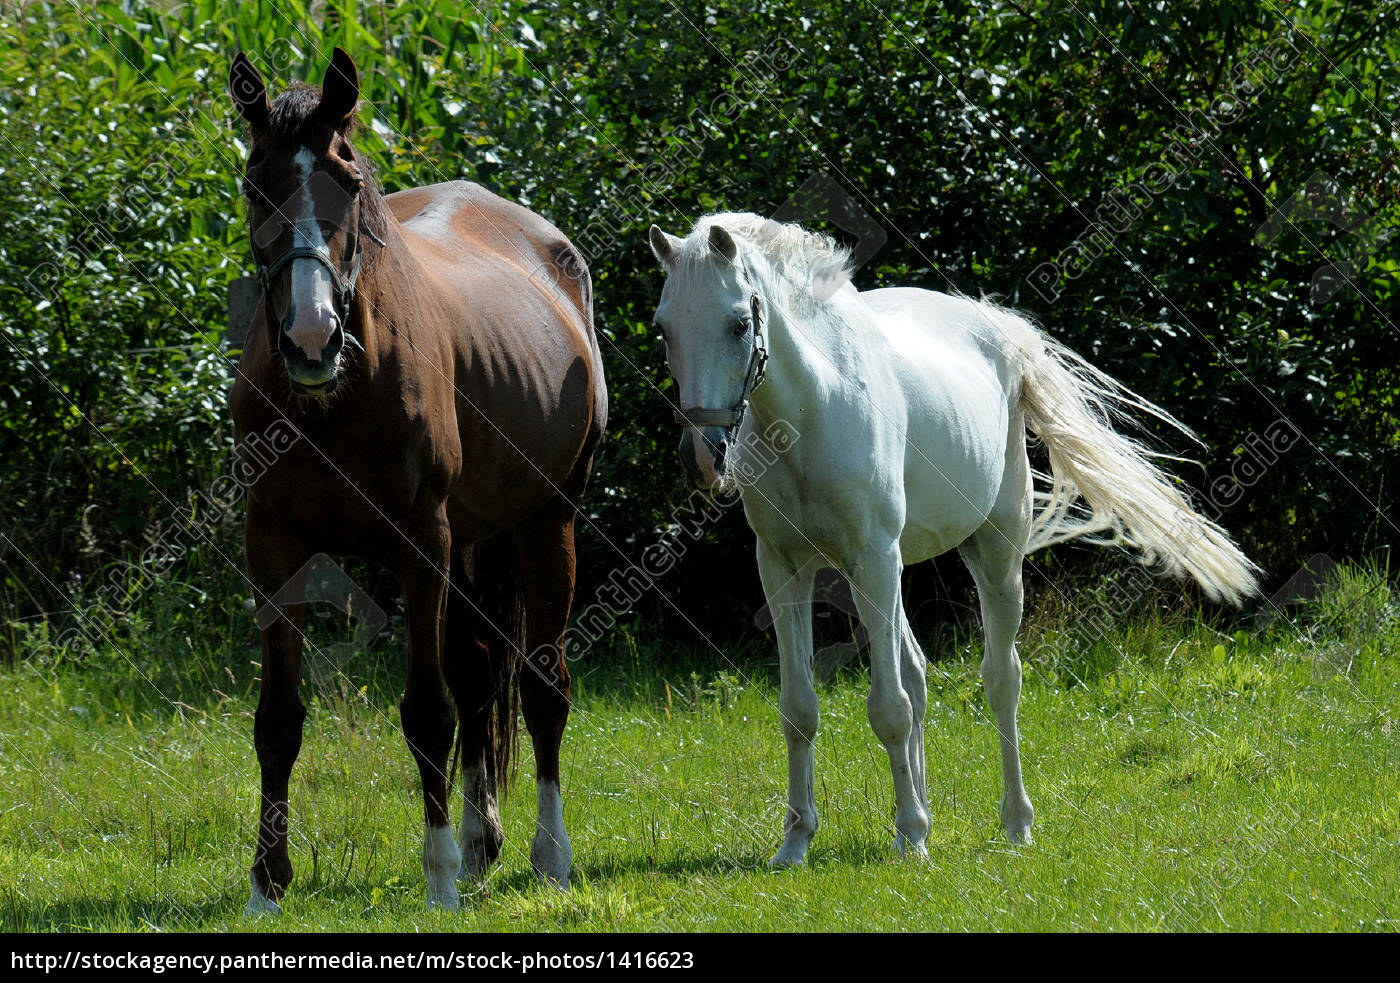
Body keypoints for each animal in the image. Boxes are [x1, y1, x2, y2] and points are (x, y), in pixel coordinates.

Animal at [226, 48, 604, 918]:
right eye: (256, 184)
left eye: (347, 181)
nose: (310, 338)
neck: (336, 395)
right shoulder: (273, 545)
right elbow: (278, 719)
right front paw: (266, 886)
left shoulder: (418, 543)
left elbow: (428, 713)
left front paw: (437, 879)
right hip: (468, 543)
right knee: (479, 672)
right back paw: (481, 841)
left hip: (548, 522)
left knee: (542, 684)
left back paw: (549, 854)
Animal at [649, 214, 1265, 862]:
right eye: (664, 328)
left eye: (739, 323)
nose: (701, 455)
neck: (811, 408)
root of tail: (997, 327)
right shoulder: (785, 569)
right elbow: (800, 710)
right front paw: (797, 843)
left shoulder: (873, 559)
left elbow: (889, 708)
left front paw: (909, 840)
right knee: (919, 676)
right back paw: (924, 814)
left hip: (990, 557)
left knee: (1001, 681)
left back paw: (1014, 823)